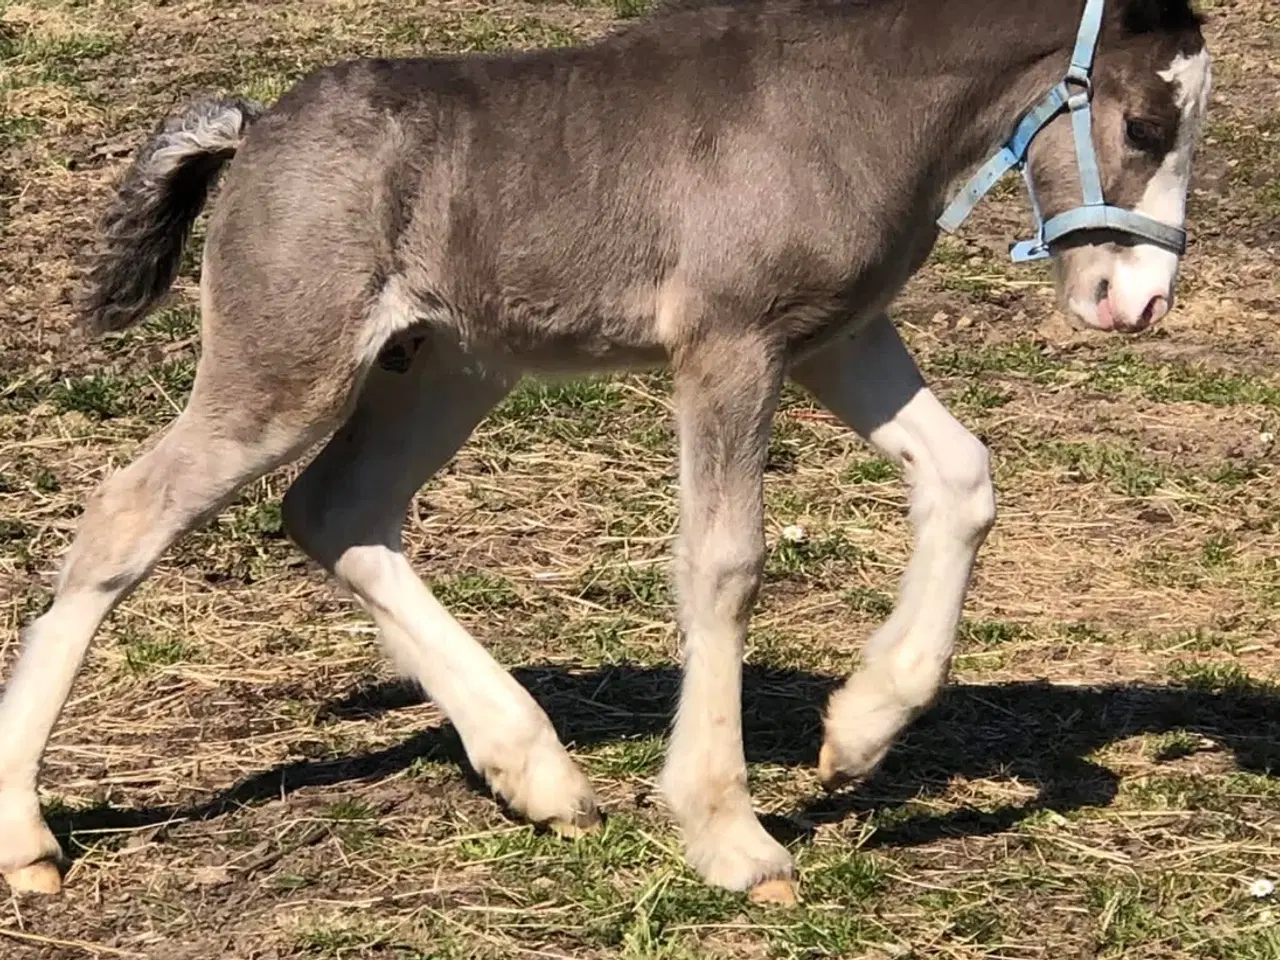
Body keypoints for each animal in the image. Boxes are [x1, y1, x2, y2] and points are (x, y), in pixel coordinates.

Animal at [0, 0, 1208, 901]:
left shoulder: (834, 336)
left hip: (448, 366)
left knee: (337, 509)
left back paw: (536, 773)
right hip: (285, 373)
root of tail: (252, 129)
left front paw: (857, 734)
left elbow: (962, 476)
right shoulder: (728, 346)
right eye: (1148, 124)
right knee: (129, 514)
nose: (1141, 303)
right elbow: (723, 564)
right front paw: (731, 836)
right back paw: (27, 839)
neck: (848, 105)